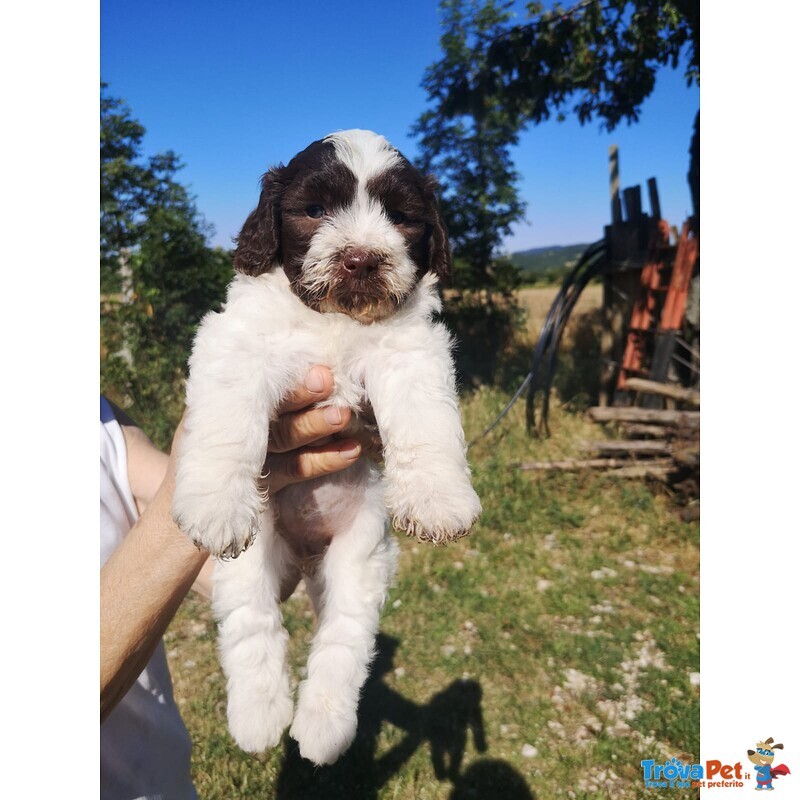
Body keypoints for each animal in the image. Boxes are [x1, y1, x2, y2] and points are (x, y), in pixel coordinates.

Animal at [174, 131, 482, 768]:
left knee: (343, 638)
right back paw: (260, 719)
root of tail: (308, 550)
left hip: (361, 555)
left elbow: (427, 419)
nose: (361, 258)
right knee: (252, 623)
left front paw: (438, 500)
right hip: (253, 557)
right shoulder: (238, 342)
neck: (336, 321)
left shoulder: (411, 353)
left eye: (400, 217)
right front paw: (215, 503)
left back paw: (321, 727)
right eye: (315, 210)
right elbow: (227, 419)